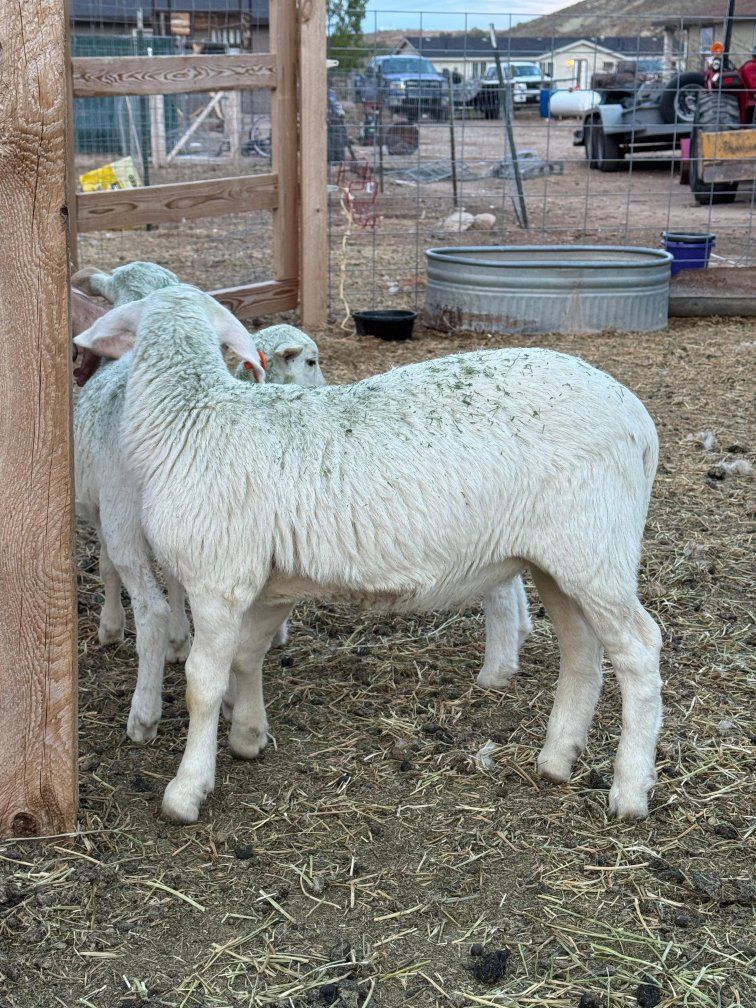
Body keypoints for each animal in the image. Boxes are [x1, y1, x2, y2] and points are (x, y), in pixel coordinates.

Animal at [75, 284, 662, 827]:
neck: (193, 418)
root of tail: (638, 416)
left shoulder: (218, 580)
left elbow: (203, 683)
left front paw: (187, 788)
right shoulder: (266, 586)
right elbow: (246, 657)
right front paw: (248, 735)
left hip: (595, 549)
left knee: (639, 647)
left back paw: (630, 788)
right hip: (559, 559)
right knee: (582, 650)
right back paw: (557, 757)